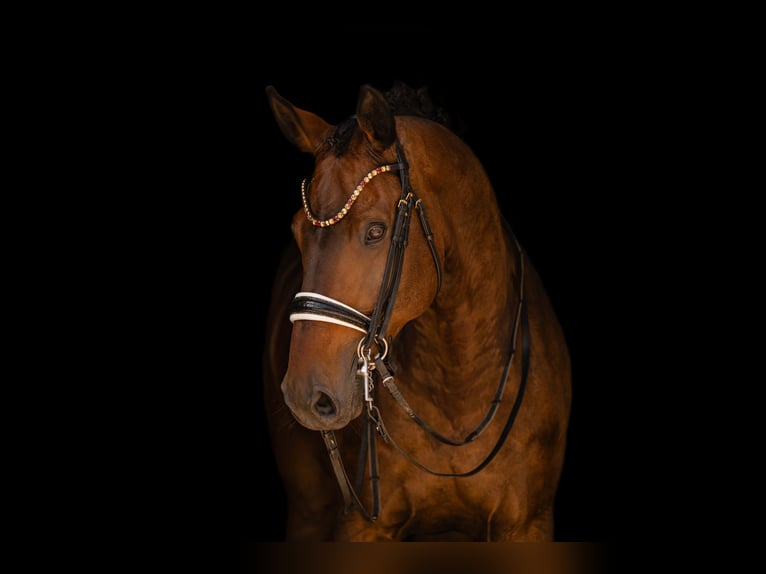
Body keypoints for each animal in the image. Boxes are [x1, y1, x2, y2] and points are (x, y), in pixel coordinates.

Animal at [262, 82, 572, 541]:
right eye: (298, 231)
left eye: (376, 231)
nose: (305, 394)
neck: (459, 382)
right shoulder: (362, 526)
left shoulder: (528, 524)